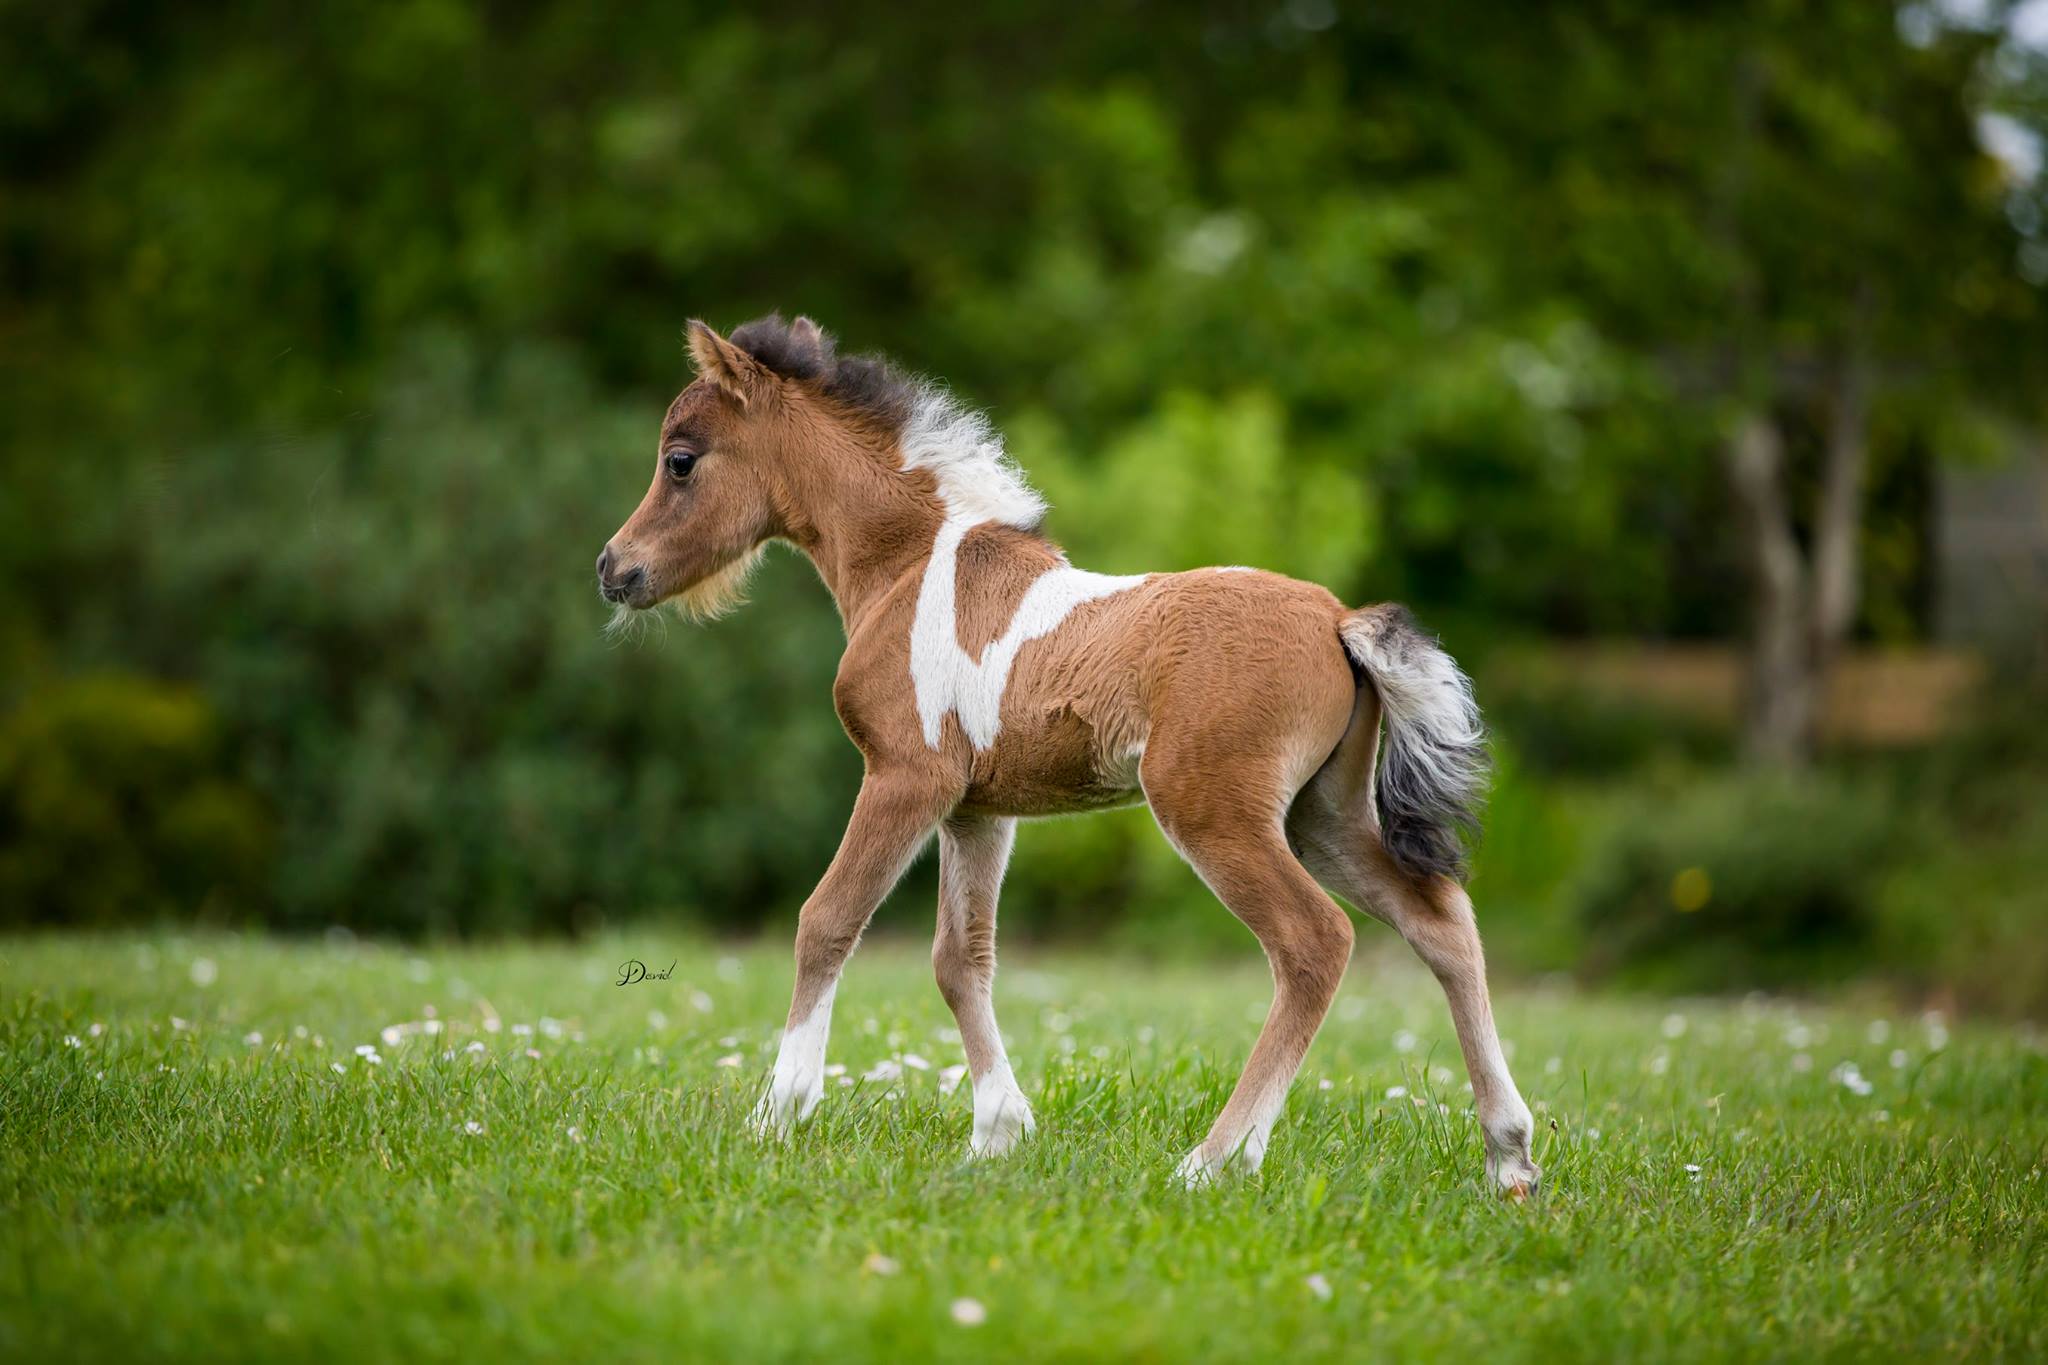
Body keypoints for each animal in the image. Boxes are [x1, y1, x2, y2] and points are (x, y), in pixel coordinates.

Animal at [596, 315, 1539, 1193]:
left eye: (681, 460)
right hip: (1324, 815)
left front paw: (778, 1111)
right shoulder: (977, 810)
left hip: (1213, 810)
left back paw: (1215, 1160)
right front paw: (997, 1132)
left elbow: (826, 920)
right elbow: (960, 959)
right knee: (1441, 922)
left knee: (1315, 941)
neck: (909, 568)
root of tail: (1338, 619)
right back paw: (1509, 1156)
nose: (613, 568)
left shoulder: (905, 777)